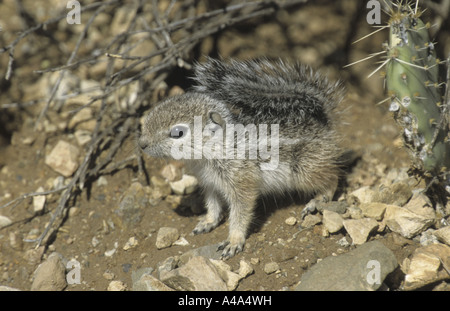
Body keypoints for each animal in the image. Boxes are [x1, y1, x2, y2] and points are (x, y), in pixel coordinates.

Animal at [141, 57, 344, 260]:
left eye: (178, 132)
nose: (141, 144)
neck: (214, 151)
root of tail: (323, 125)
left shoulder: (242, 182)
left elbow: (241, 212)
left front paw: (233, 241)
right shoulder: (210, 184)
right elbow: (213, 205)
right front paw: (208, 222)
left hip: (305, 169)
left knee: (333, 177)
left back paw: (317, 200)